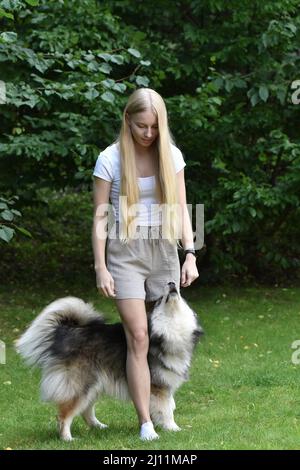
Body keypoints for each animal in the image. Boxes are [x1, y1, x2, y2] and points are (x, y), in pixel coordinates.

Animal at [17, 282, 204, 440]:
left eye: (182, 296)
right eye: (158, 301)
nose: (171, 283)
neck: (167, 330)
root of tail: (67, 331)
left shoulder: (165, 385)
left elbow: (170, 405)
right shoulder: (158, 387)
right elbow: (166, 410)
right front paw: (173, 428)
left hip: (95, 384)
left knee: (86, 410)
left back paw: (99, 427)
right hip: (81, 384)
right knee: (64, 414)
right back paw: (67, 438)